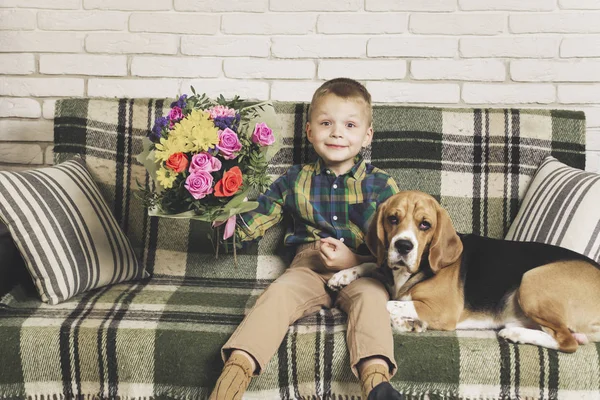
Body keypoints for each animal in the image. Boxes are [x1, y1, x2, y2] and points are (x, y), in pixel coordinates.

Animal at [328, 191, 600, 350]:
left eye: (425, 224)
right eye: (392, 219)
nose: (403, 246)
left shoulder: (442, 309)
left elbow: (391, 303)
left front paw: (407, 320)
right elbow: (373, 264)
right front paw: (343, 274)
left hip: (532, 280)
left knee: (568, 342)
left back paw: (515, 333)